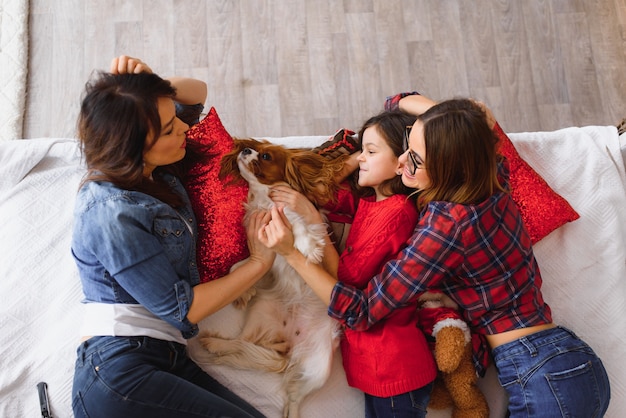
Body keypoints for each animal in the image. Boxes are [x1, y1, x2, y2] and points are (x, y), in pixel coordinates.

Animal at [200, 140, 346, 418]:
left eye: (265, 156)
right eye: (253, 147)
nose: (245, 150)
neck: (264, 201)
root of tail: (291, 345)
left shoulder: (295, 215)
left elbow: (299, 226)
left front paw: (309, 248)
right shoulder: (262, 252)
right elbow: (239, 267)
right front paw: (244, 291)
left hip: (319, 367)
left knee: (295, 395)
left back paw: (292, 411)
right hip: (261, 312)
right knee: (241, 342)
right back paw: (214, 344)